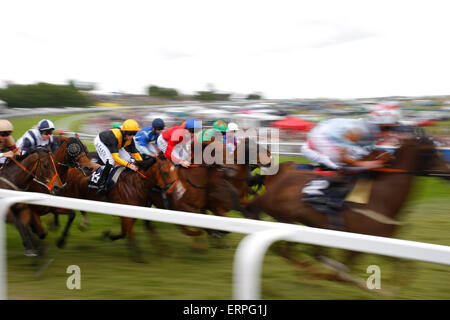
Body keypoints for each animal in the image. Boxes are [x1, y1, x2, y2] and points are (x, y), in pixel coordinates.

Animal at [246, 136, 450, 286]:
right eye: (432, 151)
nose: (447, 171)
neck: (381, 195)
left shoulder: (385, 240)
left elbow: (406, 267)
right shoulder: (362, 240)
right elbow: (343, 272)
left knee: (295, 249)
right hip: (286, 218)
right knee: (283, 248)